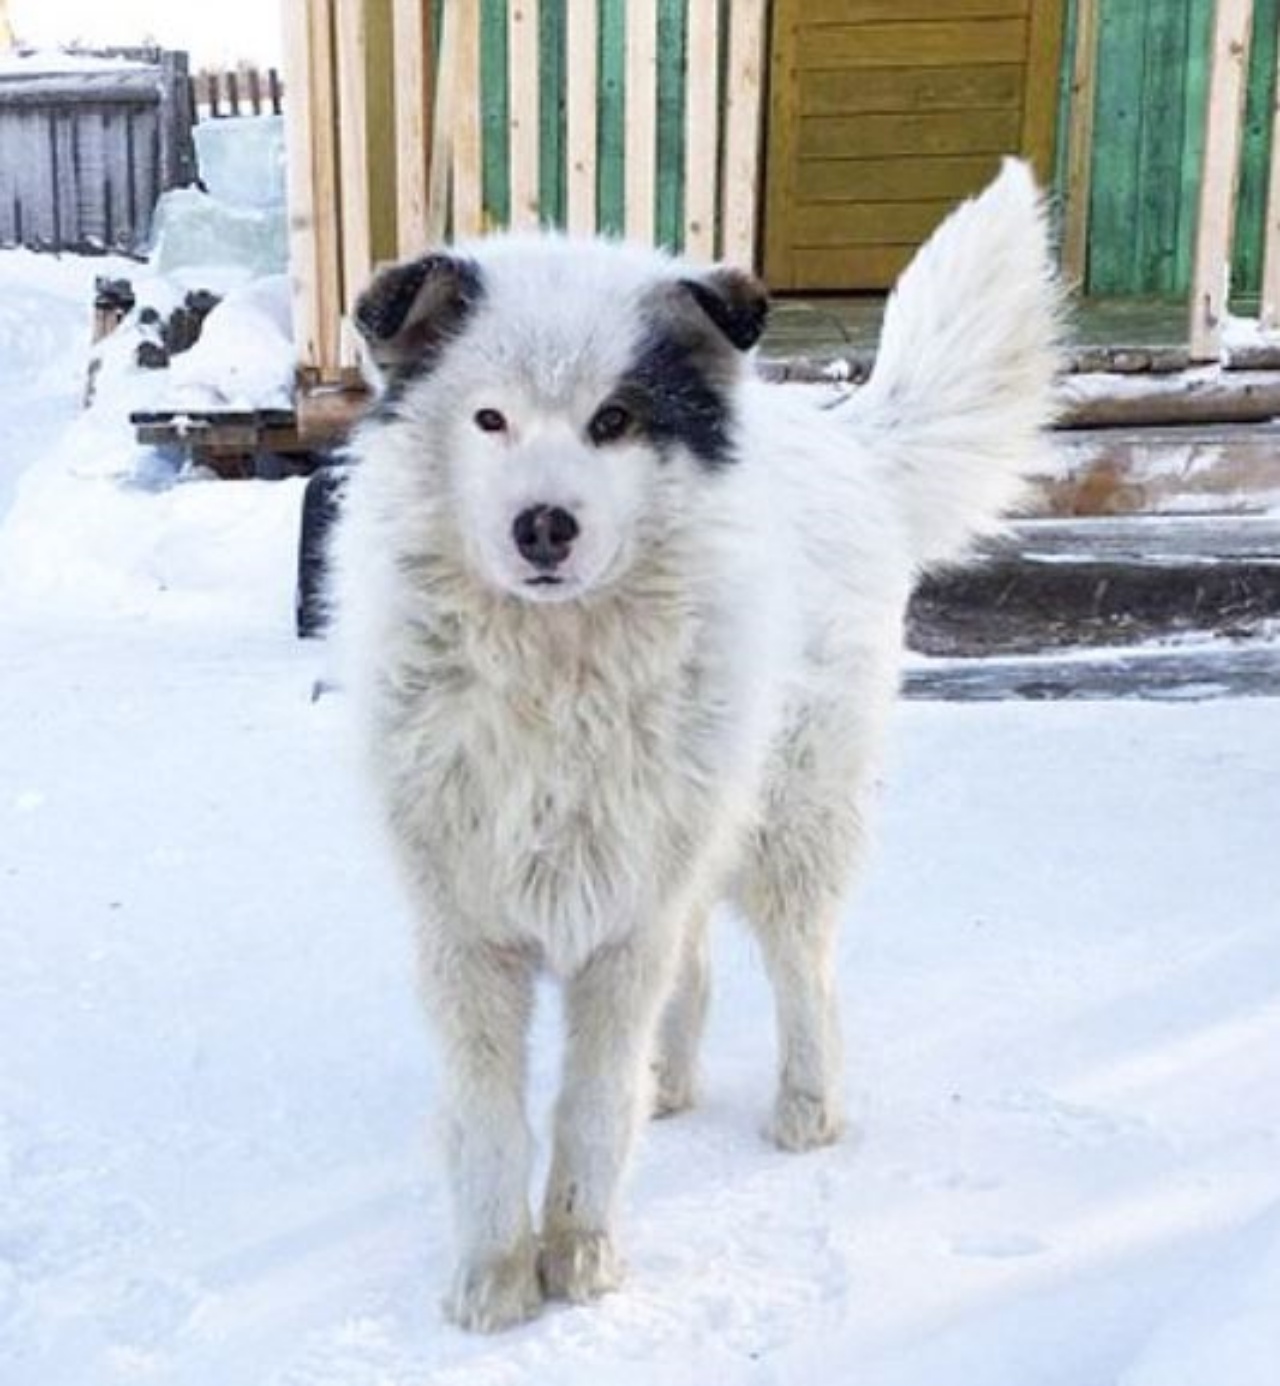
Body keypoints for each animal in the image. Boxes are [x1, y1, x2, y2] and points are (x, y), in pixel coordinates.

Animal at [329, 159, 1058, 1330]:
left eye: (614, 419)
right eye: (488, 419)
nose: (545, 524)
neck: (555, 675)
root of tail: (841, 433)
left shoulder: (623, 920)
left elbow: (587, 1106)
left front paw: (579, 1260)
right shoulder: (470, 929)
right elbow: (491, 1122)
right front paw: (494, 1283)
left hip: (790, 815)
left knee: (803, 968)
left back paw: (805, 1108)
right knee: (702, 963)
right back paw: (670, 1084)